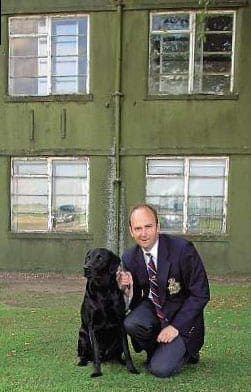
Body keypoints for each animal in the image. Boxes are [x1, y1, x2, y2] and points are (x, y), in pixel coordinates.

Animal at [77, 248, 138, 376]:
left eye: (100, 258)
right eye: (88, 257)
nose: (86, 268)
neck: (102, 290)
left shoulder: (120, 324)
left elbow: (127, 350)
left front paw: (132, 368)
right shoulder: (92, 327)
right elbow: (95, 353)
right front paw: (96, 372)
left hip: (117, 341)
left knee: (117, 355)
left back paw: (121, 361)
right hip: (83, 337)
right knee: (85, 355)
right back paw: (82, 362)